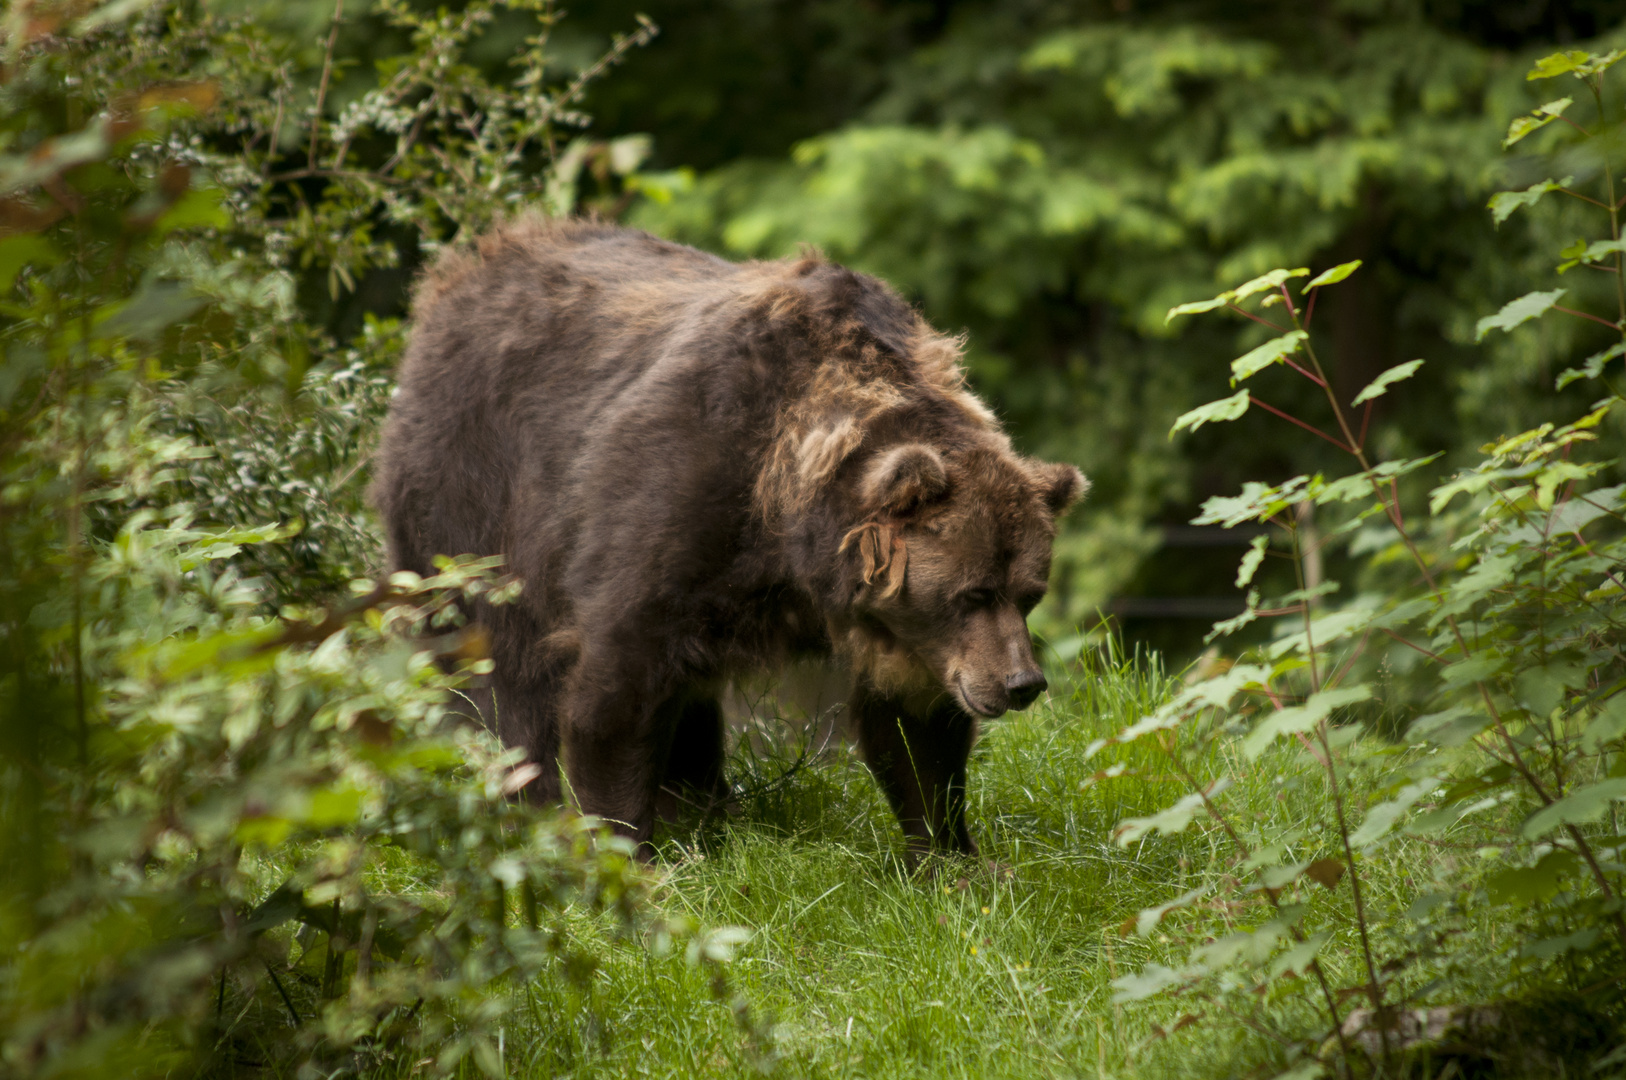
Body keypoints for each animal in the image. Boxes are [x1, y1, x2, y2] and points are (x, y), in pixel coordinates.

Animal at [372, 217, 1086, 858]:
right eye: (973, 593)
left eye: (1028, 594)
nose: (1022, 683)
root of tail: (456, 276)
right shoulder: (677, 492)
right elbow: (616, 691)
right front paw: (623, 850)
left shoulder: (900, 632)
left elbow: (917, 732)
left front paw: (950, 858)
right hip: (472, 496)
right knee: (503, 668)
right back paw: (537, 805)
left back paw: (706, 812)